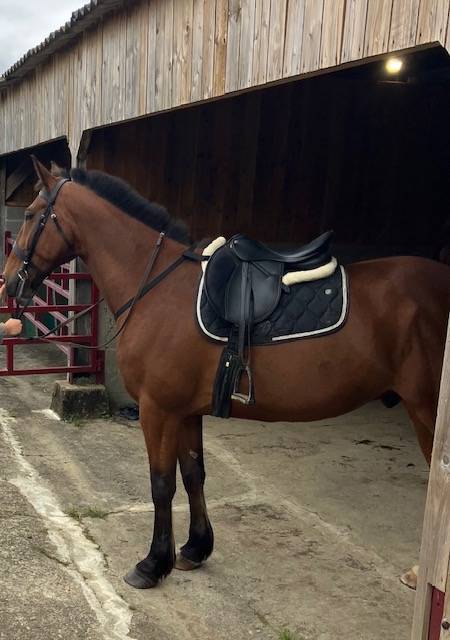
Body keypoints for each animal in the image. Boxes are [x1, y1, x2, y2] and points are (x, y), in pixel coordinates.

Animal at [2, 157, 449, 590]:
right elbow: (193, 474)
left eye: (32, 214)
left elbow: (161, 483)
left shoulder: (157, 410)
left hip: (426, 410)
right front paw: (195, 548)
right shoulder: (184, 411)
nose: (9, 284)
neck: (156, 289)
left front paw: (152, 564)